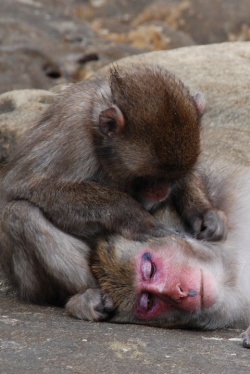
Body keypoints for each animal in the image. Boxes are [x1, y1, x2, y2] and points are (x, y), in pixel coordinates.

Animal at [0, 64, 226, 318]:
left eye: (172, 178)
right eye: (150, 178)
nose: (161, 192)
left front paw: (205, 214)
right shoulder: (72, 133)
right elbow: (26, 185)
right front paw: (135, 217)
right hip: (30, 284)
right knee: (20, 213)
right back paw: (86, 296)